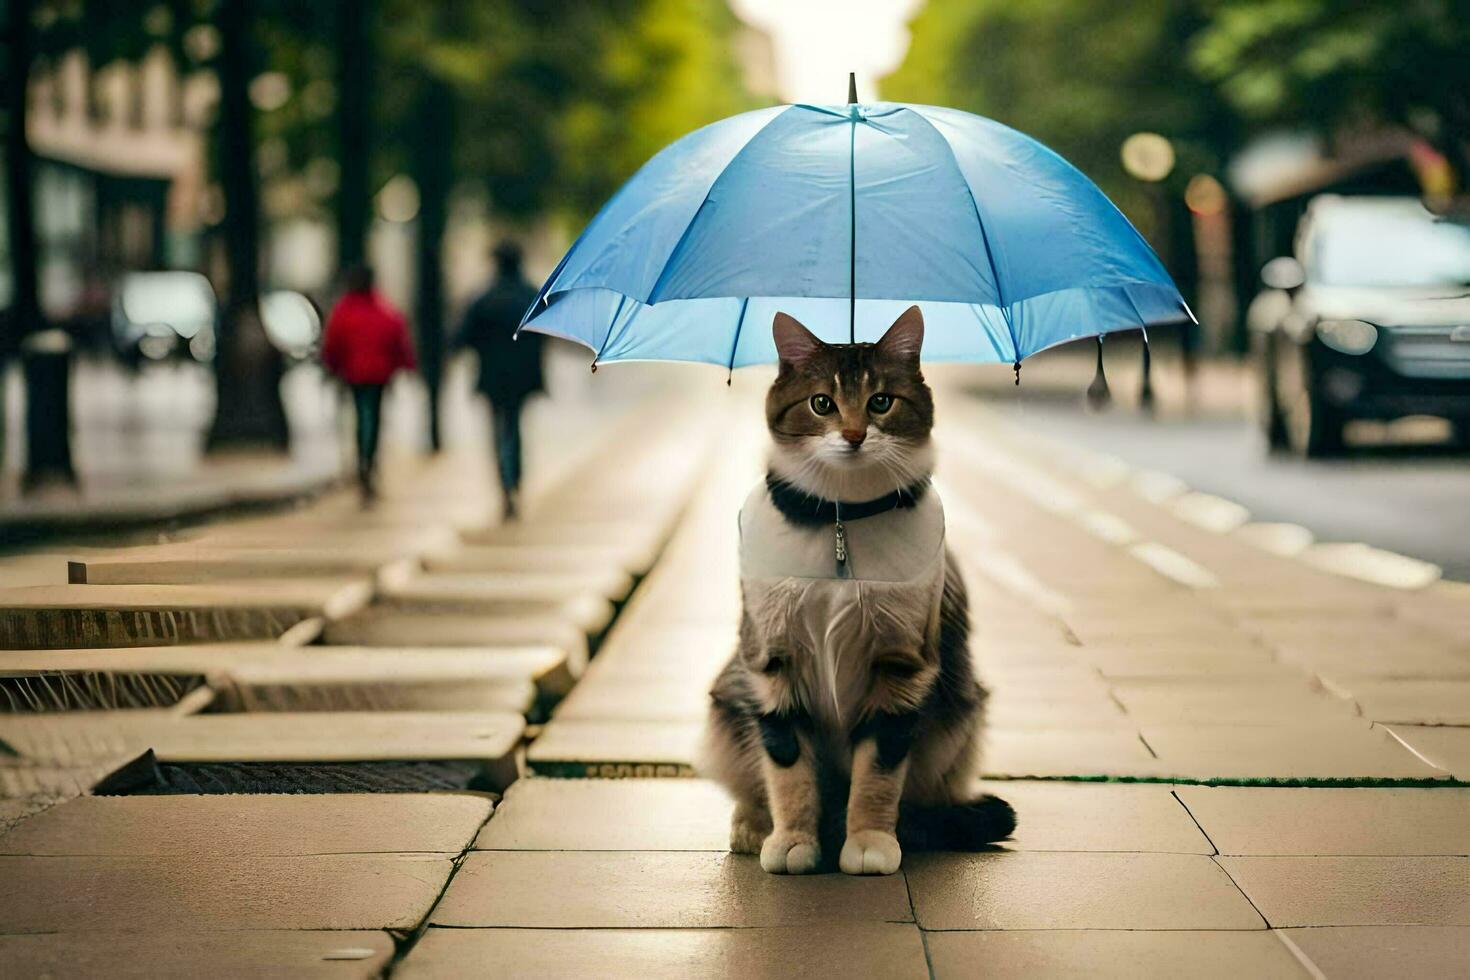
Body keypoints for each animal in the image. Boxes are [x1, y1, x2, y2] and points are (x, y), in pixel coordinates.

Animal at [699, 304, 1011, 875]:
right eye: (822, 403)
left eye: (880, 401)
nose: (853, 434)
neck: (839, 519)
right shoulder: (770, 659)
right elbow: (787, 765)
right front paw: (793, 840)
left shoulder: (902, 665)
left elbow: (879, 771)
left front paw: (868, 841)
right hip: (725, 701)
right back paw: (754, 825)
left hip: (961, 709)